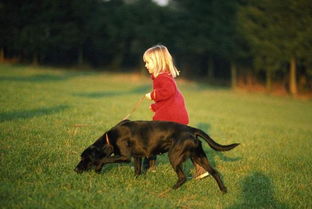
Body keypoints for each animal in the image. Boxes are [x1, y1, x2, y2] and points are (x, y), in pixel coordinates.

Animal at [75, 119, 239, 193]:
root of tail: (192, 130)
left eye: (84, 158)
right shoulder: (137, 157)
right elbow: (137, 171)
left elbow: (104, 158)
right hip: (199, 157)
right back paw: (223, 190)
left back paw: (171, 189)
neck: (109, 138)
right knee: (214, 172)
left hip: (174, 156)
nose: (75, 170)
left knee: (182, 177)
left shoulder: (125, 157)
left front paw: (97, 167)